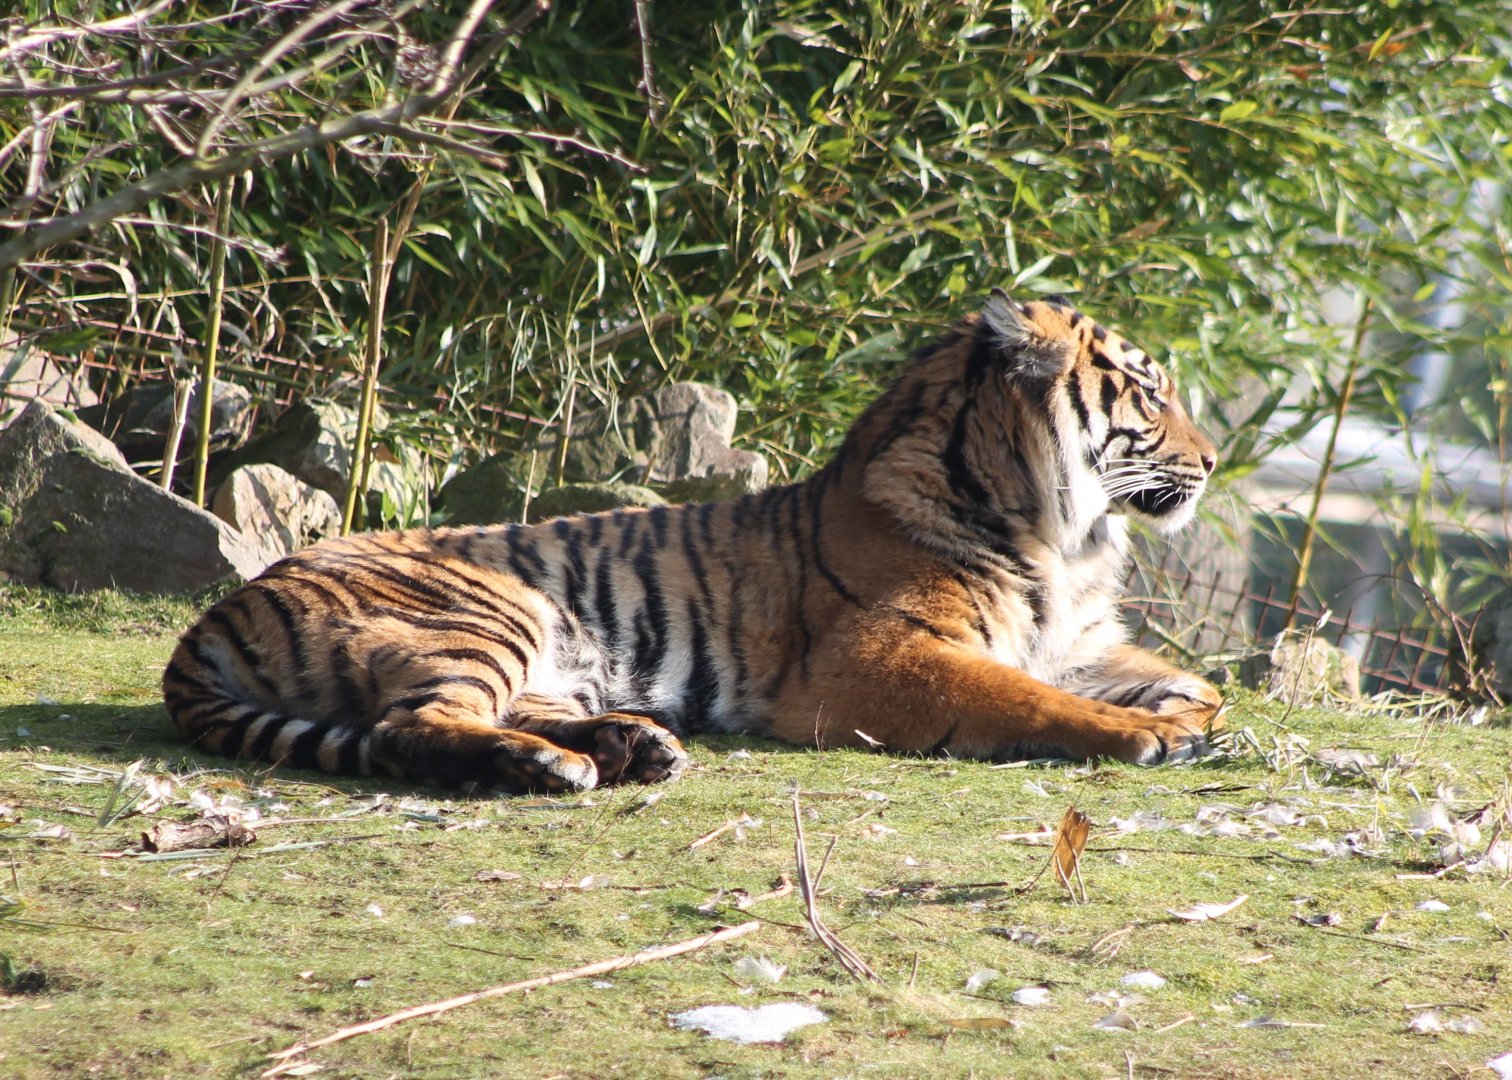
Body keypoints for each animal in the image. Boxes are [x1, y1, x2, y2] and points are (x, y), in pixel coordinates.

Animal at [162, 290, 1224, 793]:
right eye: (1150, 392)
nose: (1214, 460)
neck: (1058, 535)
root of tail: (214, 616)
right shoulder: (874, 656)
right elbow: (1020, 696)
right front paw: (1145, 735)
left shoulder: (1074, 639)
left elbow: (1195, 680)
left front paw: (1190, 711)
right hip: (490, 610)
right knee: (405, 728)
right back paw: (556, 768)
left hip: (548, 658)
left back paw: (633, 744)